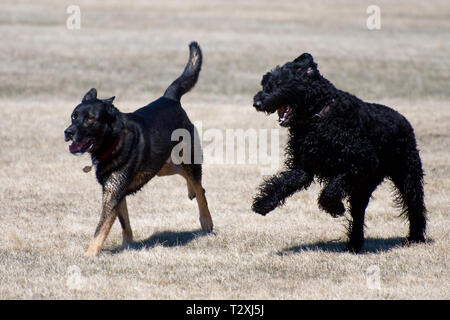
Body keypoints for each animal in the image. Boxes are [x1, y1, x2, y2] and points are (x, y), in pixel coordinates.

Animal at [64, 42, 214, 258]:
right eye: (74, 116)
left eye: (90, 119)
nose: (68, 132)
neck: (114, 141)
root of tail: (169, 98)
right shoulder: (116, 193)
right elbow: (124, 223)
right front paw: (128, 246)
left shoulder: (112, 194)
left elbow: (100, 229)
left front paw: (89, 255)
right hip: (161, 166)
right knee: (188, 180)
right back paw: (191, 192)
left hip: (187, 159)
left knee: (200, 188)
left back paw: (207, 221)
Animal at [251, 52, 428, 252]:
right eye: (265, 83)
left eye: (279, 83)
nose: (257, 102)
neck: (320, 116)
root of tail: (403, 120)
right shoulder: (302, 169)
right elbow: (281, 183)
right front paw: (263, 203)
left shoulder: (361, 162)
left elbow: (331, 189)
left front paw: (335, 208)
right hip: (364, 186)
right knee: (359, 213)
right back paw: (354, 244)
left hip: (407, 174)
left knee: (414, 205)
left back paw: (416, 237)